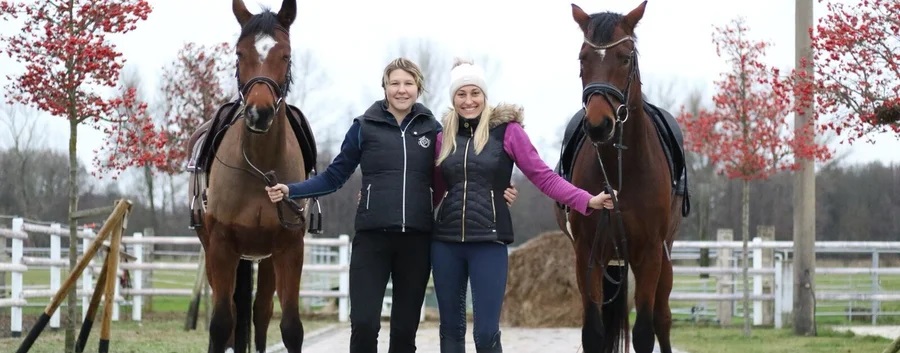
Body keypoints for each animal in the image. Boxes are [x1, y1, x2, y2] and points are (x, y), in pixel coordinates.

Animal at [186, 0, 312, 352]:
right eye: (240, 53)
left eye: (285, 55)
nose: (259, 112)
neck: (259, 167)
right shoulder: (220, 246)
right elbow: (221, 324)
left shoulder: (289, 248)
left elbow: (290, 327)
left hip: (265, 257)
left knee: (260, 312)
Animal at [556, 1, 688, 350]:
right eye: (583, 58)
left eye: (626, 57)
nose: (598, 124)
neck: (621, 170)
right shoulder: (587, 254)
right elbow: (594, 332)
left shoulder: (650, 255)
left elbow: (644, 331)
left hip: (665, 259)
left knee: (662, 319)